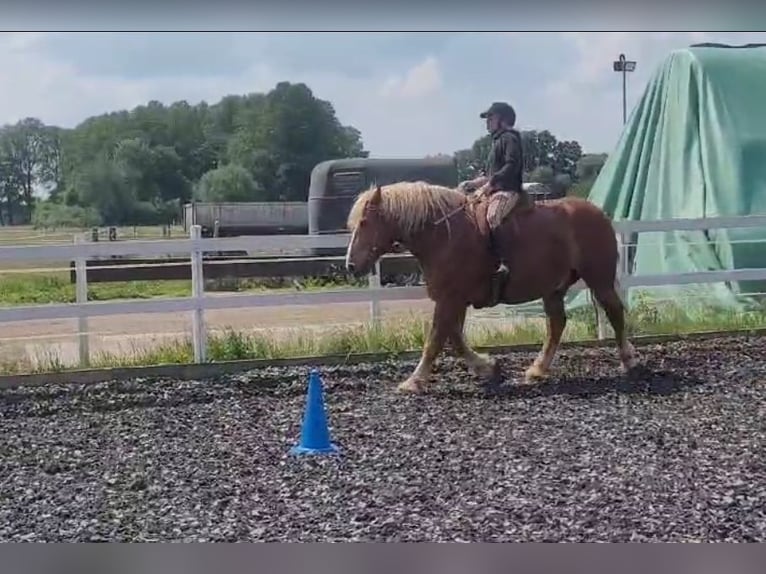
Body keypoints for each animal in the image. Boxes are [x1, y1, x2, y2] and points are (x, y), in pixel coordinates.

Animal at [344, 182, 640, 394]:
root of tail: (599, 213)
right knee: (557, 323)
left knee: (614, 312)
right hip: (553, 288)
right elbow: (454, 337)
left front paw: (414, 381)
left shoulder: (450, 299)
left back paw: (628, 360)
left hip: (599, 279)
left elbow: (436, 339)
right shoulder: (454, 299)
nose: (350, 265)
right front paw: (487, 367)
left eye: (365, 222)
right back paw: (538, 369)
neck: (443, 235)